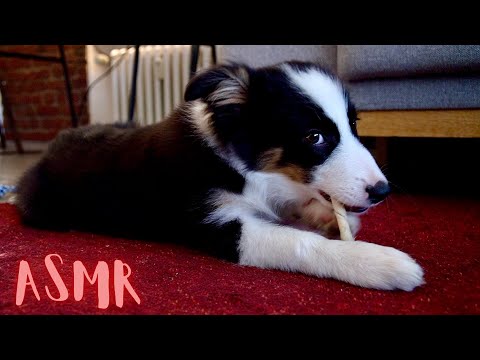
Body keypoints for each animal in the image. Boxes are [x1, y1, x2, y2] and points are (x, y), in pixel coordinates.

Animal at [16, 62, 426, 292]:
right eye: (314, 137)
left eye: (353, 125)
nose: (382, 191)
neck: (242, 165)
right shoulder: (222, 226)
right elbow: (301, 244)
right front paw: (376, 263)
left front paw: (329, 217)